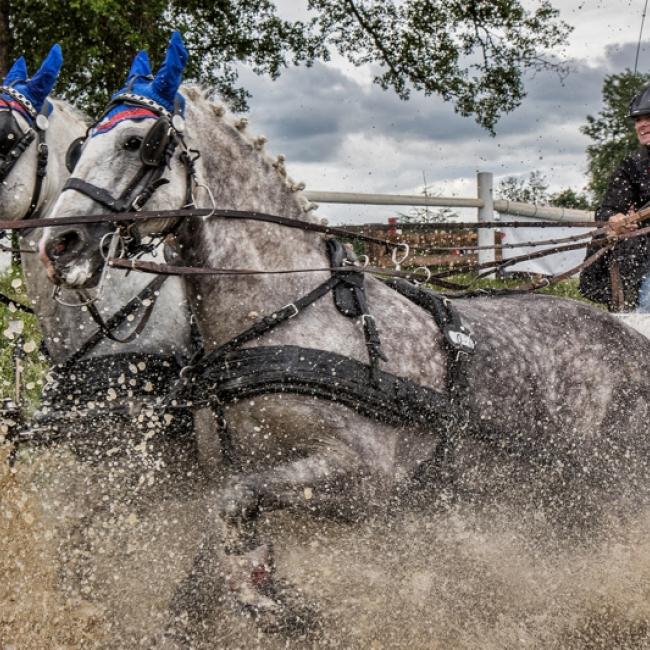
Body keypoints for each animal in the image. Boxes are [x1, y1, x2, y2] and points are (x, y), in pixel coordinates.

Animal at [39, 34, 648, 632]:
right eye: (78, 147)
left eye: (139, 141)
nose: (59, 244)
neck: (286, 316)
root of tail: (630, 338)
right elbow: (211, 545)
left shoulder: (363, 480)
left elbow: (233, 507)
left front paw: (267, 598)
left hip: (606, 482)